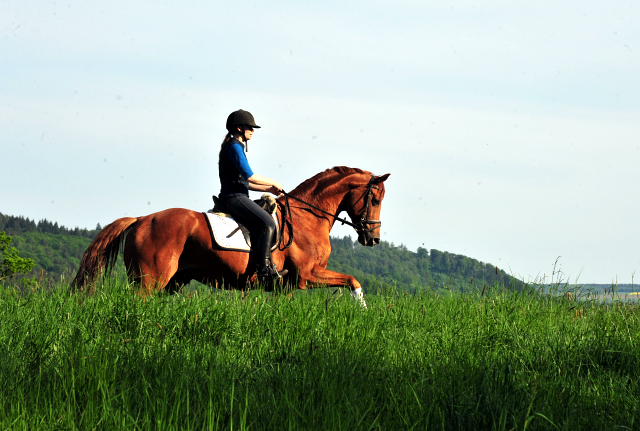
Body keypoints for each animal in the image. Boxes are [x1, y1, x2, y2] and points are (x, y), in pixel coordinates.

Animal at [71, 166, 390, 300]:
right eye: (375, 200)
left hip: (171, 281)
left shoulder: (287, 286)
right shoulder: (308, 275)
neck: (308, 217)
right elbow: (353, 280)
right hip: (150, 280)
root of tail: (141, 219)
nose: (373, 239)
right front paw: (363, 312)